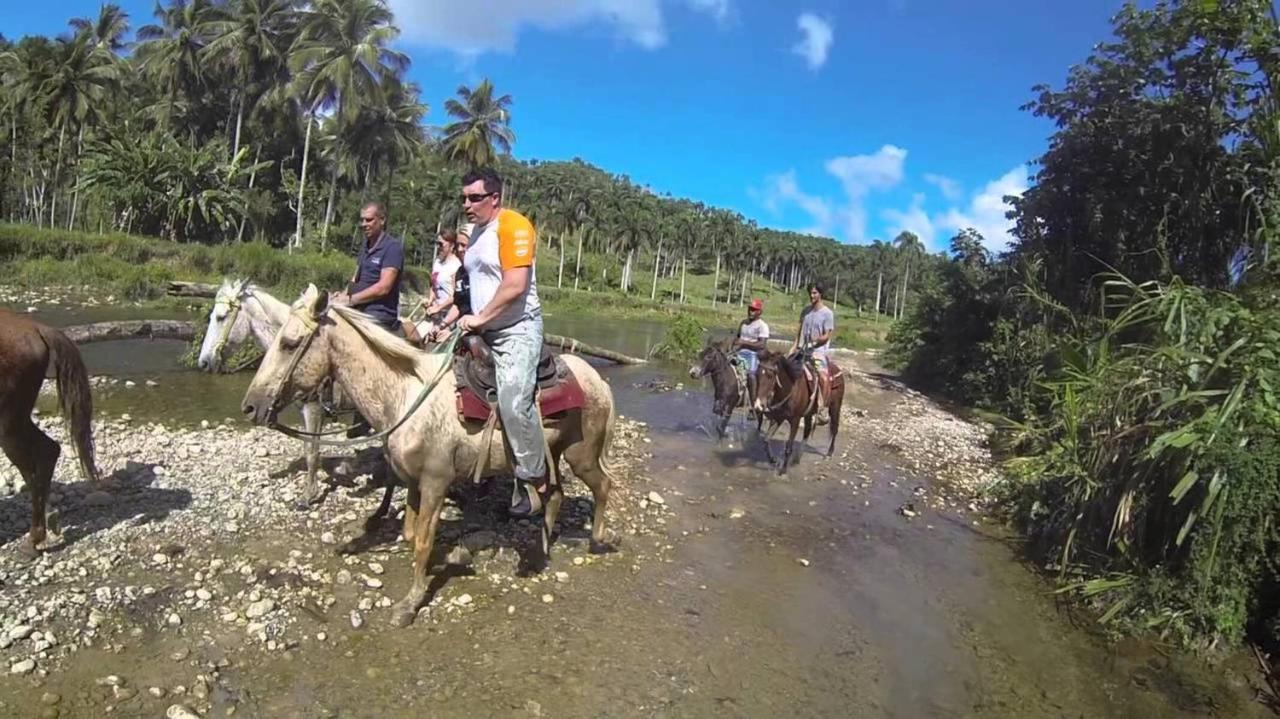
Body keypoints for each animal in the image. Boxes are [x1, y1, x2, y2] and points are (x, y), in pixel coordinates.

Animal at [0, 310, 99, 550]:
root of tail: (37, 328)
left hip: (8, 425)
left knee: (33, 467)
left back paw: (33, 540)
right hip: (19, 420)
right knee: (48, 452)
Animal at [241, 282, 622, 624]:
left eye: (289, 343)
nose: (250, 407)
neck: (404, 397)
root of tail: (597, 380)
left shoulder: (437, 483)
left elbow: (424, 541)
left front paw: (409, 603)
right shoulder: (413, 481)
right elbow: (411, 534)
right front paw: (455, 558)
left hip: (581, 455)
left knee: (602, 487)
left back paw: (597, 541)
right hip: (552, 454)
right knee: (554, 495)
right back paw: (540, 549)